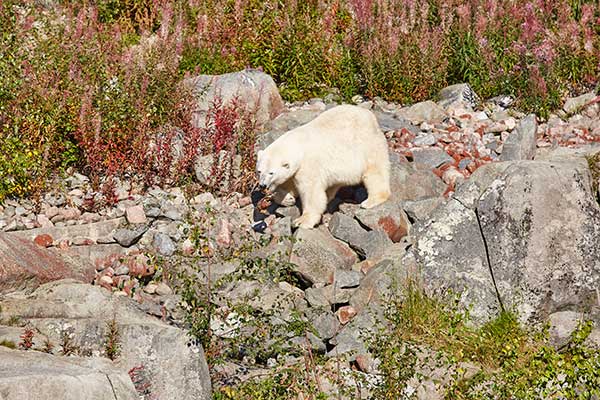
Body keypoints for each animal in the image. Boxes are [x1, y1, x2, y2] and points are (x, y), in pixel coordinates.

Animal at [255, 104, 392, 228]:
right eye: (259, 171)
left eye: (271, 172)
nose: (262, 185)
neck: (298, 144)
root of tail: (370, 117)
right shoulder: (295, 170)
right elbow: (289, 184)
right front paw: (288, 198)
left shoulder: (308, 165)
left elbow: (310, 192)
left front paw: (302, 221)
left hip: (367, 145)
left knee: (374, 172)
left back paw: (370, 201)